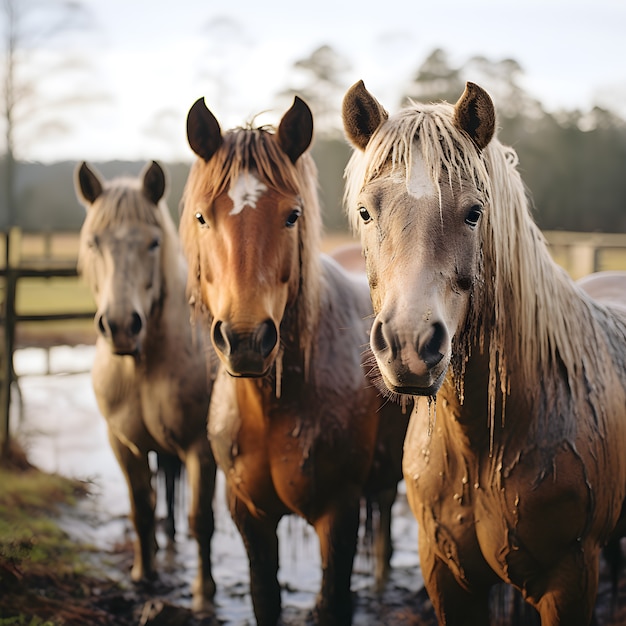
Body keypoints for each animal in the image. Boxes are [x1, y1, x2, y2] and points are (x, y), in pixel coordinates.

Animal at [74, 161, 217, 608]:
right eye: (93, 242)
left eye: (154, 243)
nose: (121, 326)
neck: (142, 368)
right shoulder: (124, 445)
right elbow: (140, 508)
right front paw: (143, 573)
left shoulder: (201, 448)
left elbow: (201, 520)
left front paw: (204, 593)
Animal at [178, 95, 408, 620]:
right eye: (202, 217)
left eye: (292, 215)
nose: (245, 339)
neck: (275, 405)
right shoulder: (250, 515)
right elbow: (265, 597)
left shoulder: (338, 514)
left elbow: (333, 601)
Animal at [342, 80, 624, 620]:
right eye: (366, 212)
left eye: (474, 213)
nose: (409, 345)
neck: (486, 447)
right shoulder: (446, 575)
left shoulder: (572, 580)